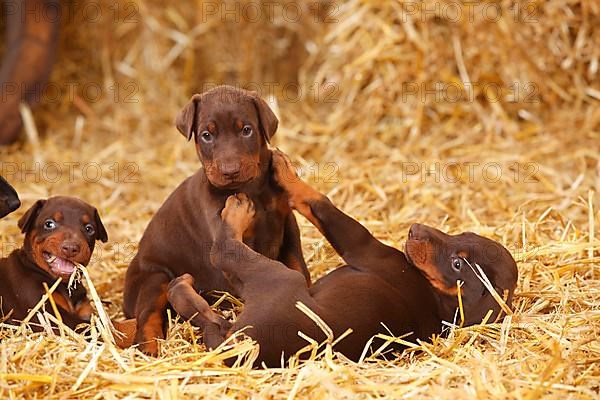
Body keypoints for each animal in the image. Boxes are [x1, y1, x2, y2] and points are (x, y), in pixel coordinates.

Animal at [122, 84, 310, 354]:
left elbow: (298, 265)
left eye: (246, 130)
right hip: (154, 278)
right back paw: (150, 348)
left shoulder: (287, 225)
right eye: (206, 135)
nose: (230, 171)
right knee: (147, 316)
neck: (253, 190)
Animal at [166, 152, 516, 368]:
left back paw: (235, 213)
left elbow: (320, 203)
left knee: (223, 251)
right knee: (207, 318)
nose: (415, 229)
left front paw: (284, 170)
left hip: (278, 277)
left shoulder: (362, 246)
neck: (438, 299)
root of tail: (248, 346)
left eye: (458, 264)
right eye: (462, 235)